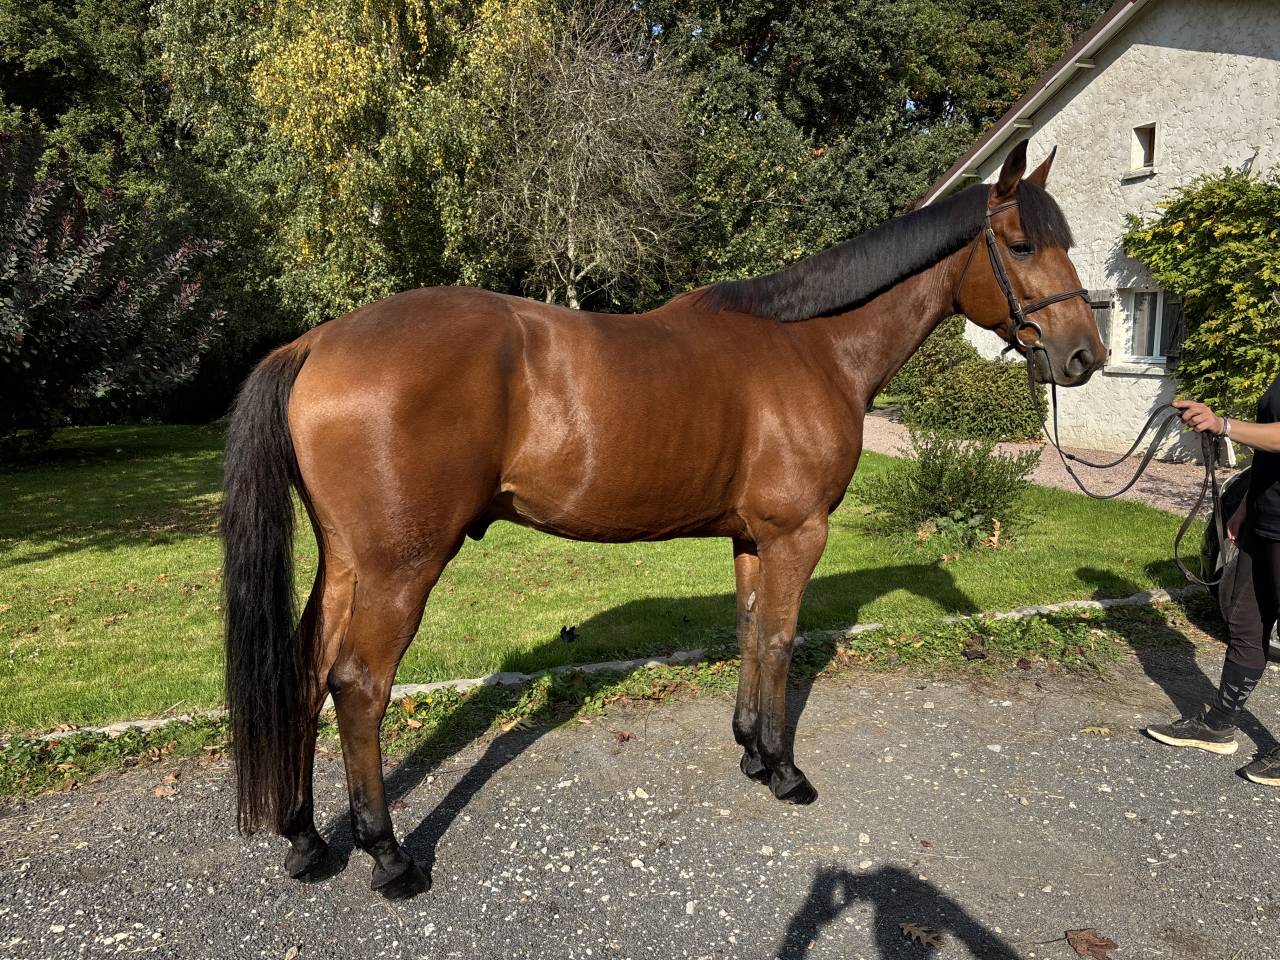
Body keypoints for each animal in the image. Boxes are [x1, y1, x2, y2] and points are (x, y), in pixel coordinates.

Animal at [220, 139, 1105, 899]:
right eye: (1021, 243)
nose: (1084, 357)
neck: (812, 345)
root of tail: (317, 342)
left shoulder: (753, 537)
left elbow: (750, 631)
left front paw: (751, 752)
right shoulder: (798, 534)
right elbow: (781, 639)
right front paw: (785, 771)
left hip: (347, 562)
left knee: (305, 674)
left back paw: (307, 840)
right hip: (401, 567)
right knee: (358, 686)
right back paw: (389, 856)